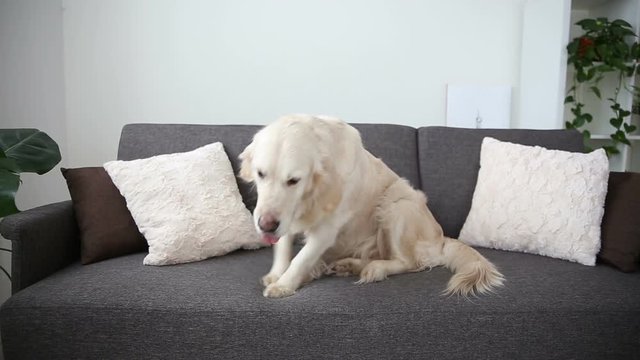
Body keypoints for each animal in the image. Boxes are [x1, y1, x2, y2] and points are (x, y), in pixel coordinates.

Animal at [240, 115, 504, 298]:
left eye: (294, 180)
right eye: (260, 174)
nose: (266, 225)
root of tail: (441, 239)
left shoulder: (326, 230)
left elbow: (301, 258)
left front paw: (284, 284)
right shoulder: (286, 218)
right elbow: (283, 248)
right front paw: (277, 274)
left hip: (396, 205)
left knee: (410, 263)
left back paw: (374, 269)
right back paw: (347, 265)